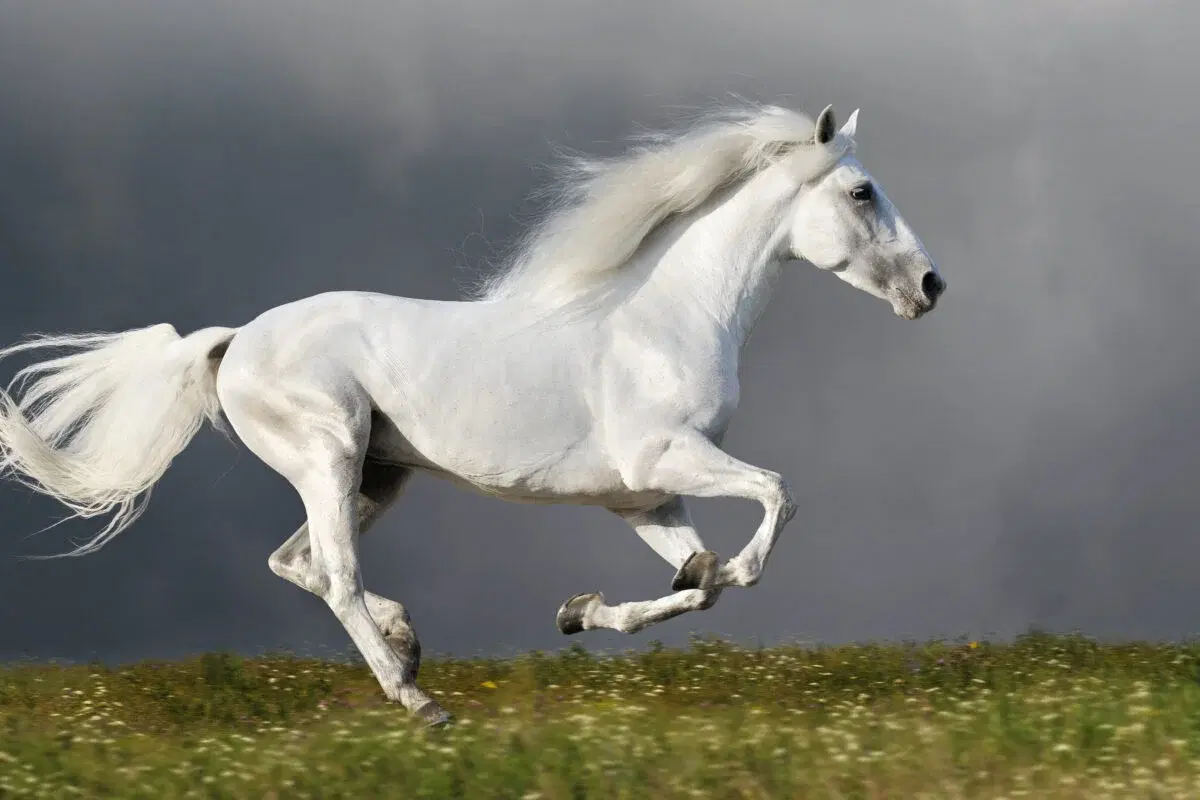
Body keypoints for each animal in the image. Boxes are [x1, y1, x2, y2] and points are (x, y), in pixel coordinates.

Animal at [0, 102, 945, 726]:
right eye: (862, 192)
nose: (932, 286)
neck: (664, 318)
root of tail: (233, 343)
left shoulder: (644, 499)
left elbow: (696, 585)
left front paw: (582, 610)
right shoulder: (665, 461)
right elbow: (774, 505)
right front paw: (722, 570)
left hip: (376, 478)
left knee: (296, 562)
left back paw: (407, 638)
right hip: (329, 457)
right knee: (332, 575)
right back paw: (417, 698)